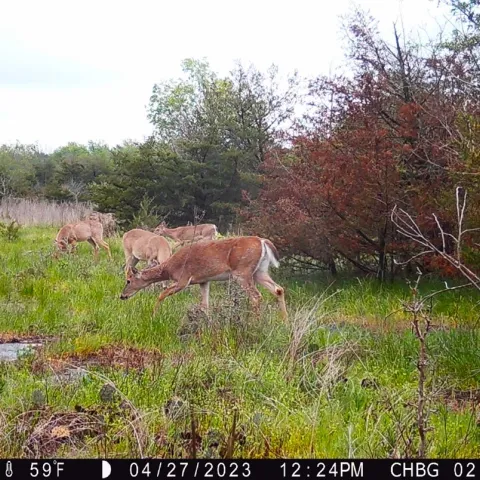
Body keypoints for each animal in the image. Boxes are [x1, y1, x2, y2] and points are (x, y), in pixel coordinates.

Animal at [119, 235, 286, 318]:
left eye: (128, 280)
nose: (122, 296)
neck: (169, 268)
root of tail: (263, 241)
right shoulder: (204, 281)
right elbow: (205, 305)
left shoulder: (183, 279)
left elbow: (162, 294)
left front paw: (153, 316)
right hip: (259, 271)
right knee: (278, 289)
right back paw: (285, 322)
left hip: (242, 272)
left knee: (257, 296)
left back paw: (254, 323)